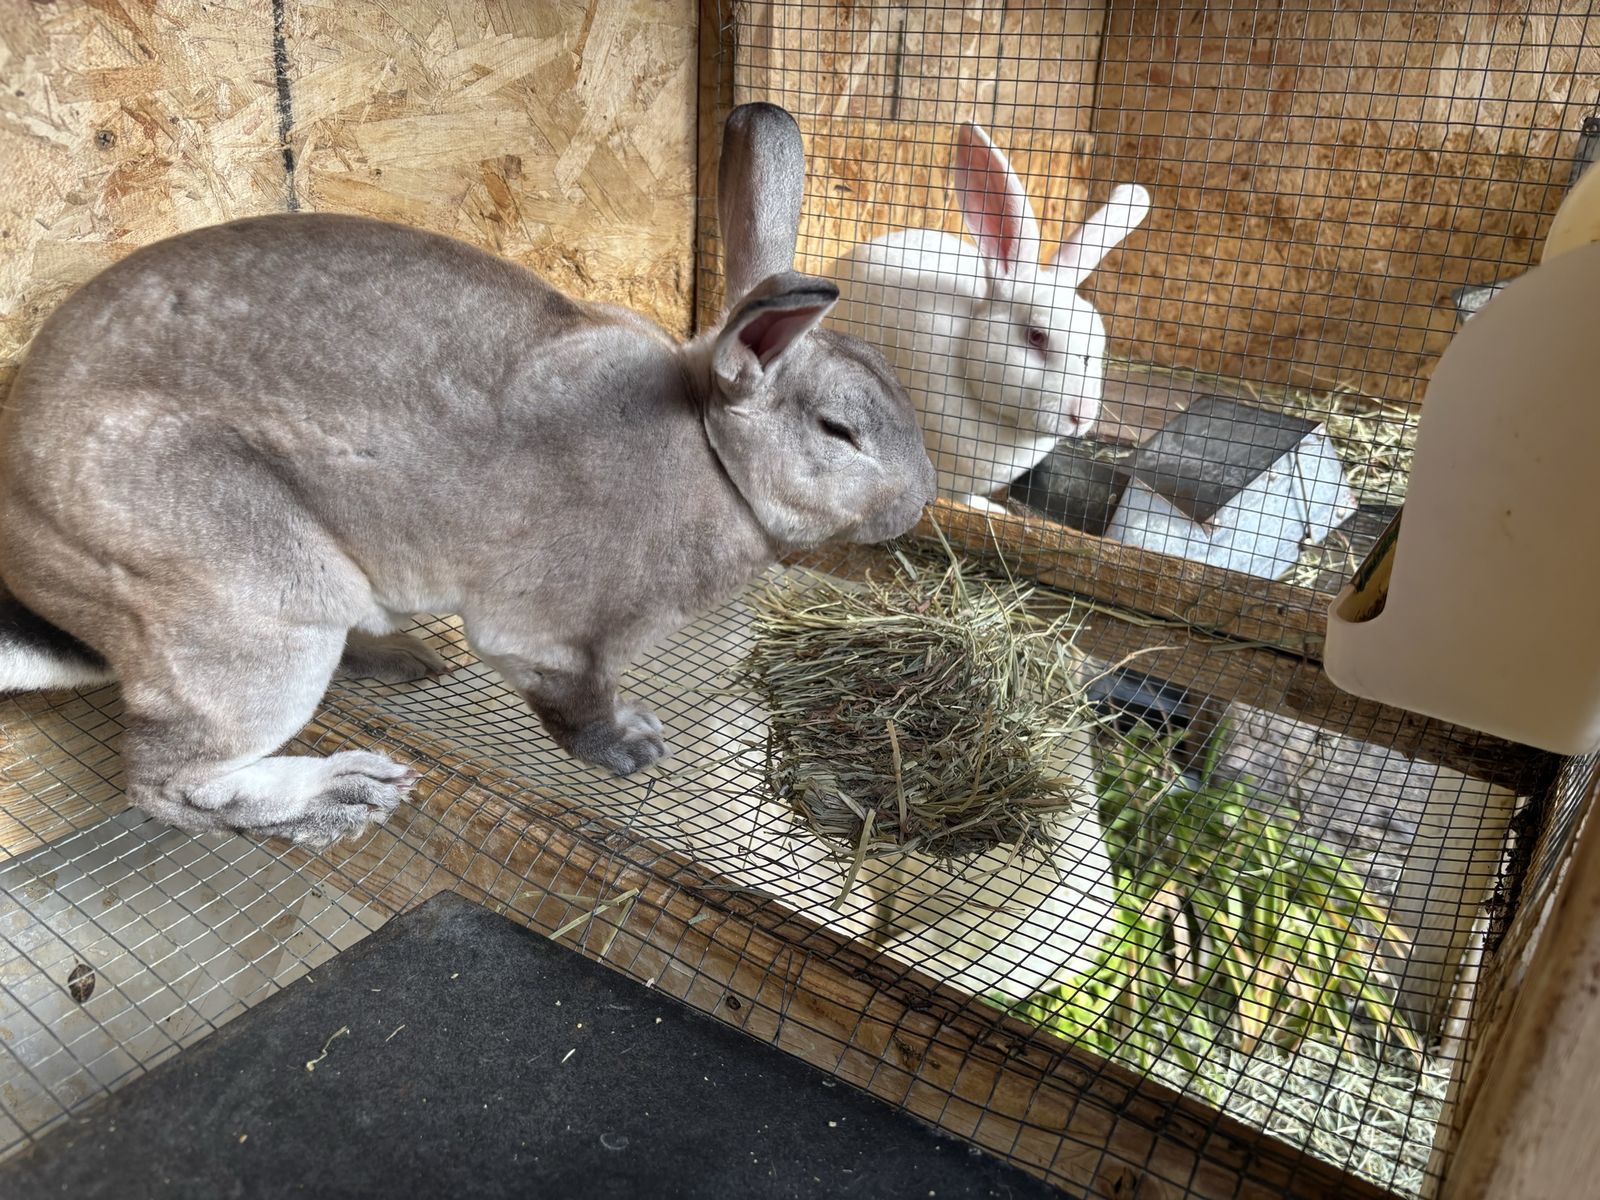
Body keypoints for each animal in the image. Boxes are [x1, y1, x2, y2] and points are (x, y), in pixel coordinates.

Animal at [0, 101, 936, 848]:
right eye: (840, 431)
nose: (921, 499)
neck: (709, 452)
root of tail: (24, 545)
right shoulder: (554, 636)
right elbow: (575, 702)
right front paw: (636, 748)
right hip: (252, 615)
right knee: (170, 784)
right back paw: (345, 793)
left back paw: (406, 661)